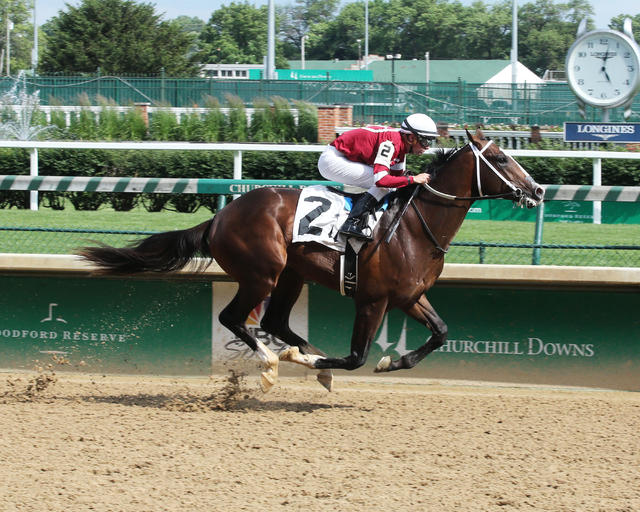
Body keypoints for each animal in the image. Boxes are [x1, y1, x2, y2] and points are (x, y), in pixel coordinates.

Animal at [77, 129, 544, 392]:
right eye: (500, 158)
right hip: (261, 275)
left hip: (290, 276)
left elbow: (441, 333)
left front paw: (393, 361)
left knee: (273, 322)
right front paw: (323, 363)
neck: (415, 225)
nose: (538, 191)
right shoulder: (372, 300)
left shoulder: (410, 296)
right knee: (235, 319)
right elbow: (356, 356)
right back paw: (273, 364)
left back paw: (298, 357)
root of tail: (220, 217)